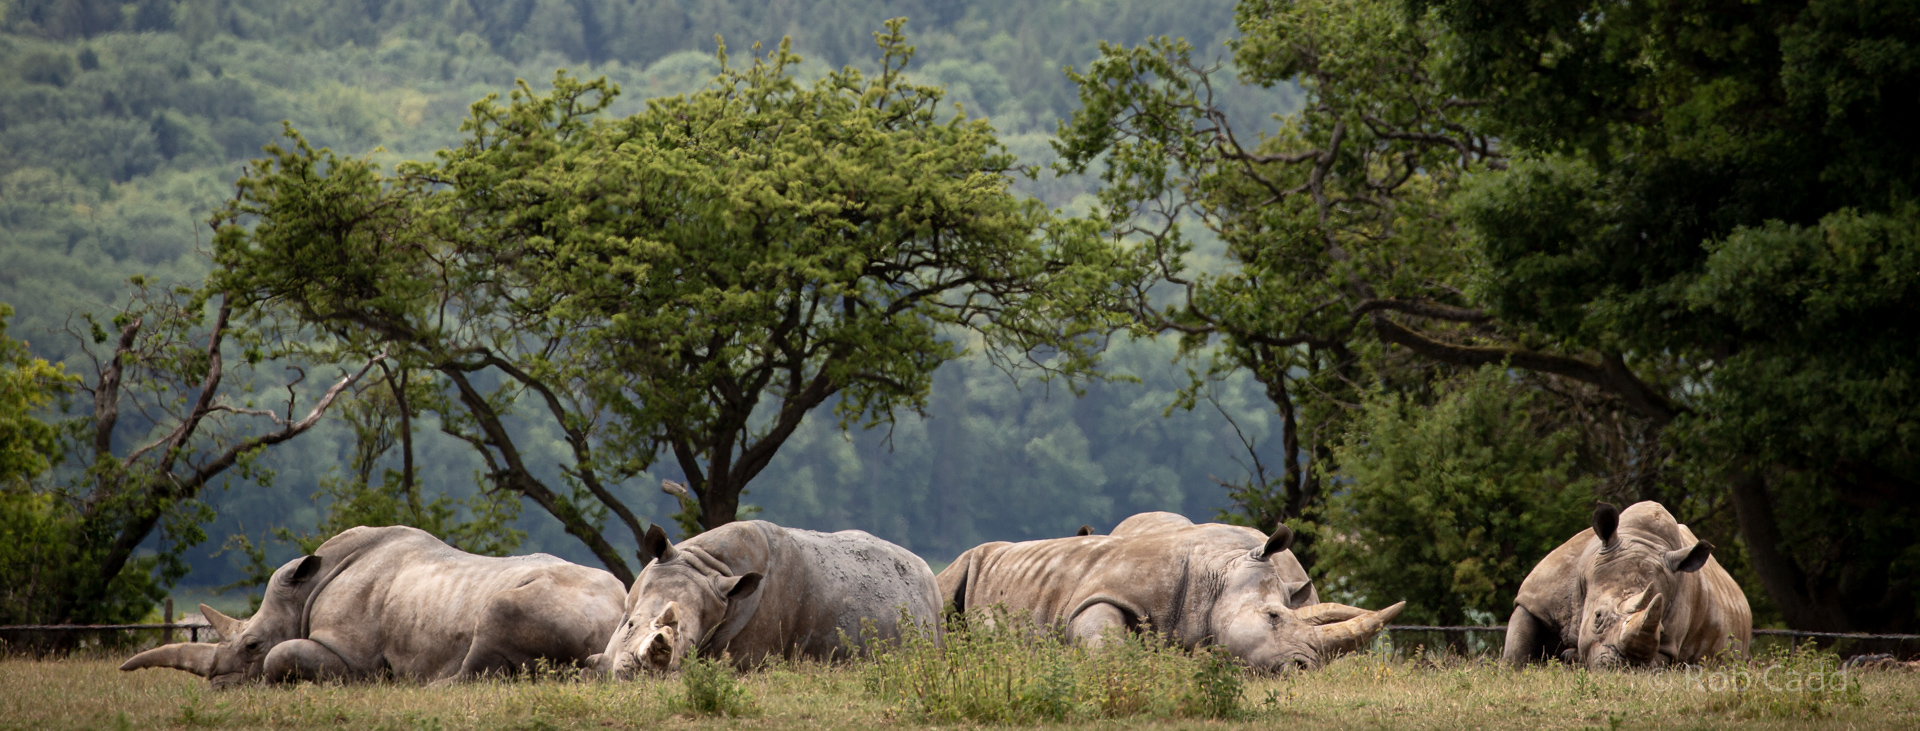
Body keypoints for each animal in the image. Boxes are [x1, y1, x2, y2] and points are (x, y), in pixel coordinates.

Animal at [121, 525, 625, 687]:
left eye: (251, 645)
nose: (218, 686)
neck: (305, 592)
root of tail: (621, 604)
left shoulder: (352, 652)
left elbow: (284, 655)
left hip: (552, 601)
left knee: (495, 615)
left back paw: (425, 688)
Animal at [937, 512, 1403, 670]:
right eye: (1273, 617)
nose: (1307, 668)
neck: (1217, 577)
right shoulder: (1101, 592)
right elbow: (1102, 636)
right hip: (963, 564)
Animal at [1502, 501, 1752, 668]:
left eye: (1661, 630)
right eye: (1598, 616)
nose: (1621, 666)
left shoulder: (1668, 646)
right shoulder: (1537, 597)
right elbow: (1517, 648)